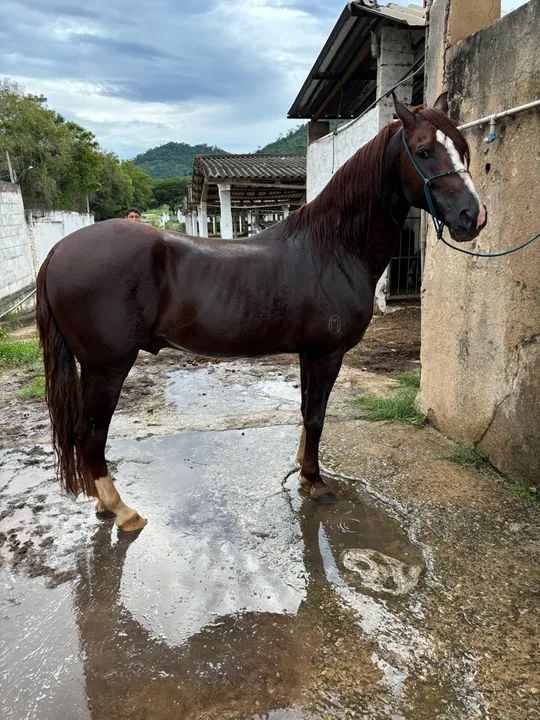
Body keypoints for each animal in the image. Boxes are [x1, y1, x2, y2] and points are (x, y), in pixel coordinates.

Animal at [36, 93, 487, 532]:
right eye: (424, 151)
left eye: (463, 148)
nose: (473, 216)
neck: (334, 248)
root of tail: (58, 250)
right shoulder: (326, 353)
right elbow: (316, 416)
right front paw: (315, 481)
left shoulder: (309, 353)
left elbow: (306, 412)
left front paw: (303, 469)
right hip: (107, 367)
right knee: (89, 435)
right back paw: (122, 510)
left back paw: (103, 504)